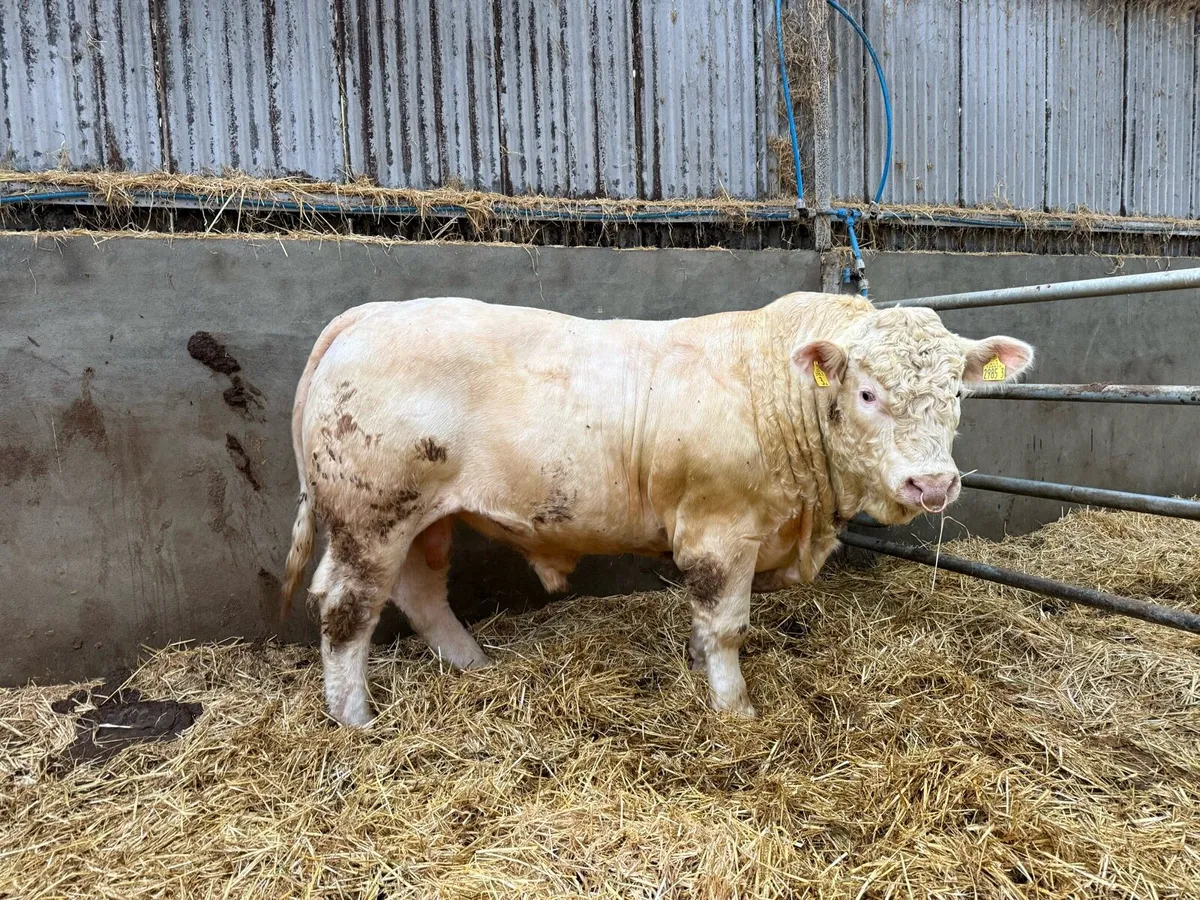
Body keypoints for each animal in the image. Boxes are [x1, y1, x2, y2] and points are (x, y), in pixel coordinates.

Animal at [281, 292, 1033, 726]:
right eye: (869, 393)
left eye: (959, 393)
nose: (931, 484)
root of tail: (370, 313)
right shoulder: (718, 530)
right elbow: (726, 623)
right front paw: (735, 709)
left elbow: (705, 623)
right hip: (370, 512)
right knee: (347, 607)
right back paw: (354, 718)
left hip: (426, 516)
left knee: (421, 593)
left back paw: (474, 666)